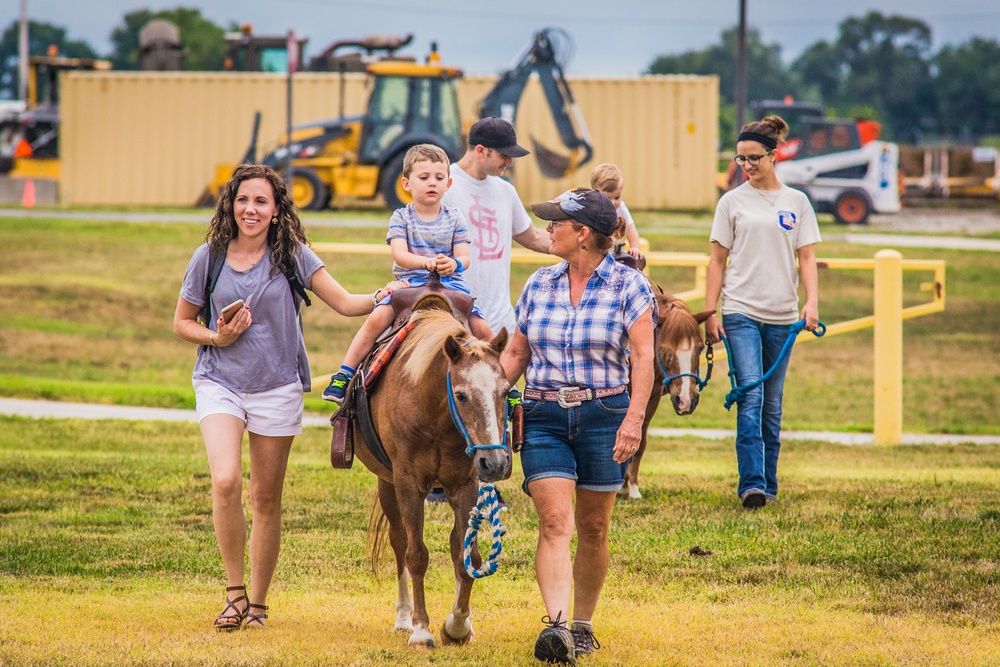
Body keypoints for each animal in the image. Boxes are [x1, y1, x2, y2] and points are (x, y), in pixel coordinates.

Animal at [356, 302, 512, 648]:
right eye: (462, 395)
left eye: (505, 392)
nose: (495, 463)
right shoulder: (408, 484)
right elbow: (416, 554)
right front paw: (421, 629)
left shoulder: (465, 485)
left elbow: (468, 557)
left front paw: (458, 624)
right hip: (388, 484)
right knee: (399, 541)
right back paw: (404, 618)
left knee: (455, 547)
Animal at [620, 294, 716, 498]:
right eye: (664, 350)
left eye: (700, 349)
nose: (687, 401)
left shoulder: (651, 397)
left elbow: (639, 441)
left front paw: (630, 487)